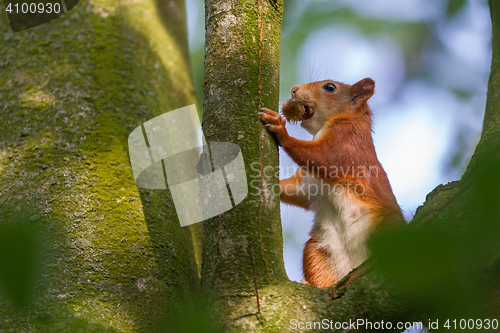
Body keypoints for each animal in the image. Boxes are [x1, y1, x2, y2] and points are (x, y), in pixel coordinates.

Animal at [260, 78, 404, 288]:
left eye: (330, 87)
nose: (294, 89)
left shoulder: (347, 142)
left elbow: (323, 158)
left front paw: (280, 129)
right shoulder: (308, 184)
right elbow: (297, 191)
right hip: (318, 251)